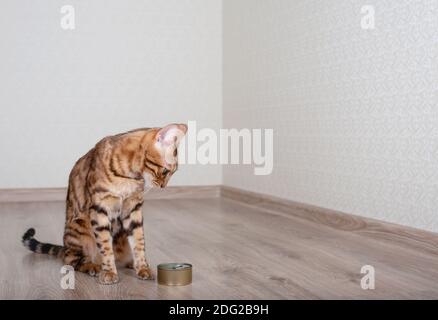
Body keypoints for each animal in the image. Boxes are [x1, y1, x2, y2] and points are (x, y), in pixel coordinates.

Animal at [22, 124, 186, 284]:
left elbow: (139, 242)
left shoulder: (133, 208)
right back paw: (93, 266)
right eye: (165, 171)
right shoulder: (100, 207)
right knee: (72, 260)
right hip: (79, 230)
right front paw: (109, 272)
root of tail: (65, 247)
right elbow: (105, 244)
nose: (163, 186)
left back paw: (130, 263)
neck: (129, 176)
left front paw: (143, 268)